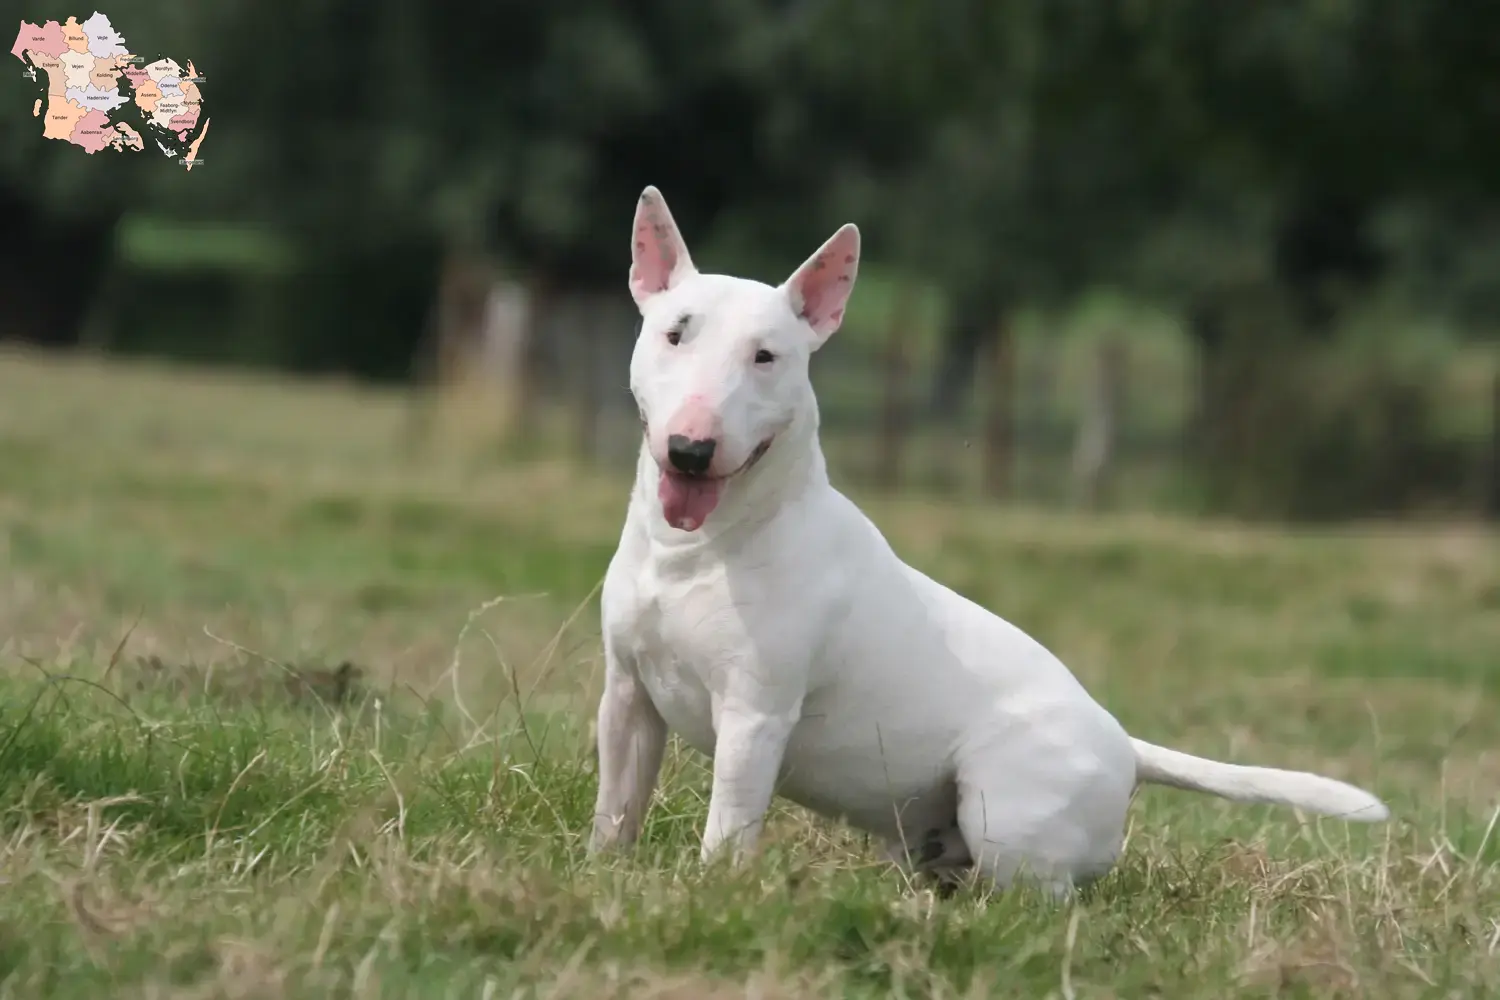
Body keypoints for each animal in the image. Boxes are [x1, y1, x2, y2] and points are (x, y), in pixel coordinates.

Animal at [582, 187, 1380, 899]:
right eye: (675, 333)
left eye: (767, 357)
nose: (691, 450)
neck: (698, 550)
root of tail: (1125, 745)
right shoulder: (627, 694)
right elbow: (616, 805)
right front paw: (602, 873)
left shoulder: (756, 714)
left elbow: (729, 823)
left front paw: (711, 889)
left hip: (1007, 812)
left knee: (1041, 896)